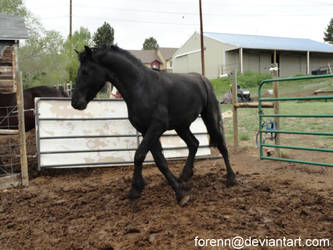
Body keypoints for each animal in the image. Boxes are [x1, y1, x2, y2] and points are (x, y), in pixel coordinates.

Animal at [72, 46, 236, 206]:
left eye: (85, 72)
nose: (75, 103)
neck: (141, 87)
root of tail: (203, 79)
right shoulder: (146, 131)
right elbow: (159, 161)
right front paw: (177, 190)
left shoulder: (156, 127)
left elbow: (139, 155)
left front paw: (139, 189)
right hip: (181, 126)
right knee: (194, 143)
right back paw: (184, 175)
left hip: (210, 119)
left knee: (221, 145)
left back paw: (231, 178)